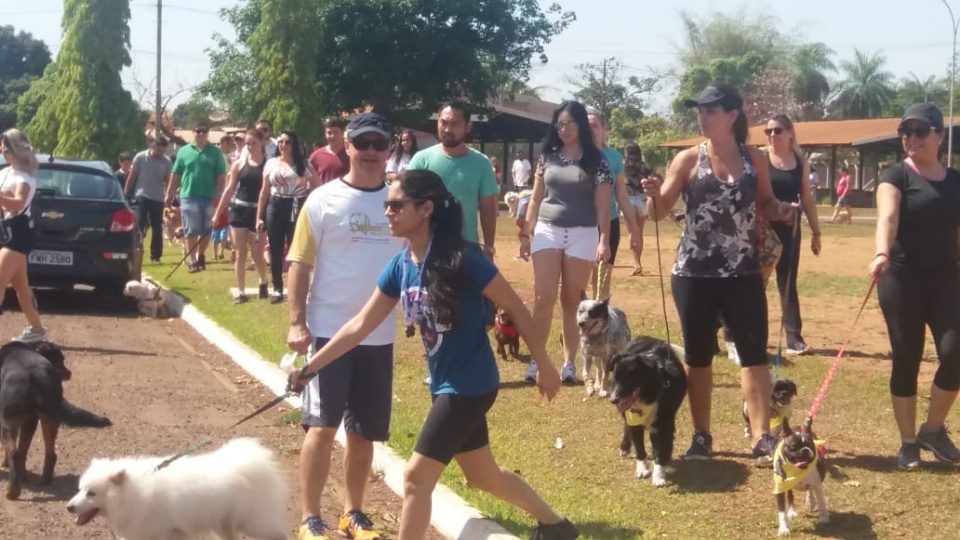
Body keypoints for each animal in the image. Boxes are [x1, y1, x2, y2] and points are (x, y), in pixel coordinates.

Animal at [0, 340, 111, 500]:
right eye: (59, 359)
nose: (69, 372)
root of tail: (37, 373)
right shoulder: (32, 419)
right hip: (49, 416)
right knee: (47, 453)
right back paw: (42, 480)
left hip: (10, 420)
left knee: (14, 452)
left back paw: (12, 491)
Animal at [67, 438, 286, 540]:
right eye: (79, 489)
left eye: (92, 493)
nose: (68, 507)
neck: (133, 495)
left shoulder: (168, 532)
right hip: (224, 524)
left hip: (251, 523)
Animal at [612, 338, 688, 486]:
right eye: (615, 379)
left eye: (629, 381)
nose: (613, 400)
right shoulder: (634, 420)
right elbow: (639, 447)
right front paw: (642, 469)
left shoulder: (663, 424)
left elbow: (660, 449)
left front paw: (658, 475)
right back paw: (625, 447)